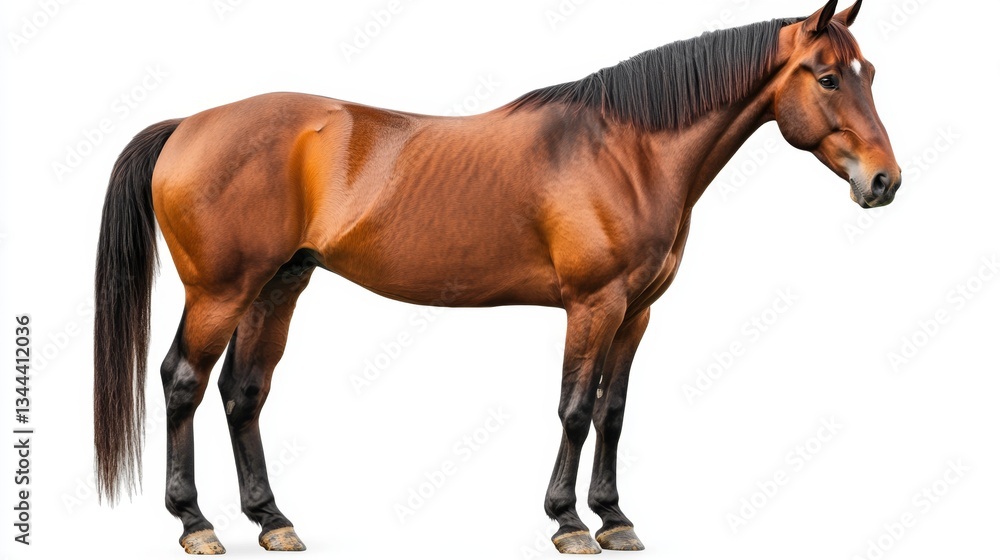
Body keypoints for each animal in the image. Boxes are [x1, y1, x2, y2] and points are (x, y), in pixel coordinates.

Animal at [93, 0, 899, 554]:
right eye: (829, 77)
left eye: (870, 74)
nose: (884, 181)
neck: (627, 151)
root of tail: (189, 124)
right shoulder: (592, 305)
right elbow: (574, 409)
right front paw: (568, 521)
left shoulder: (636, 312)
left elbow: (612, 412)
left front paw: (616, 518)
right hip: (220, 292)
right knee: (183, 382)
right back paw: (195, 523)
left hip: (277, 287)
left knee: (243, 392)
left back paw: (273, 520)